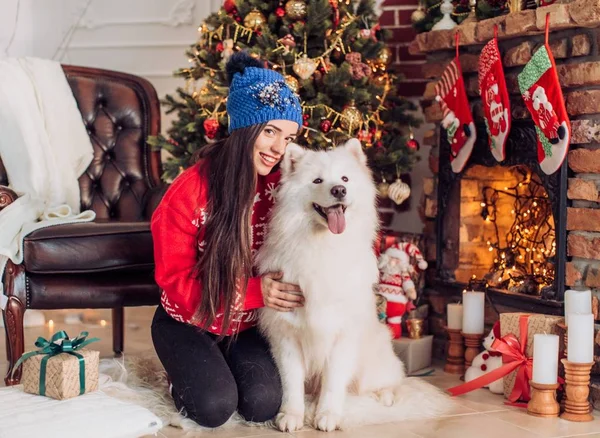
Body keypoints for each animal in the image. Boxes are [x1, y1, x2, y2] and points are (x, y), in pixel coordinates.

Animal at [255, 139, 410, 432]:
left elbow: (333, 382)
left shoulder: (342, 335)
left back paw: (384, 397)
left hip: (373, 360)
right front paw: (292, 416)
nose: (339, 190)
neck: (323, 244)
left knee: (393, 380)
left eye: (345, 178)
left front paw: (327, 416)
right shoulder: (287, 336)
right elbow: (291, 383)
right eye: (317, 180)